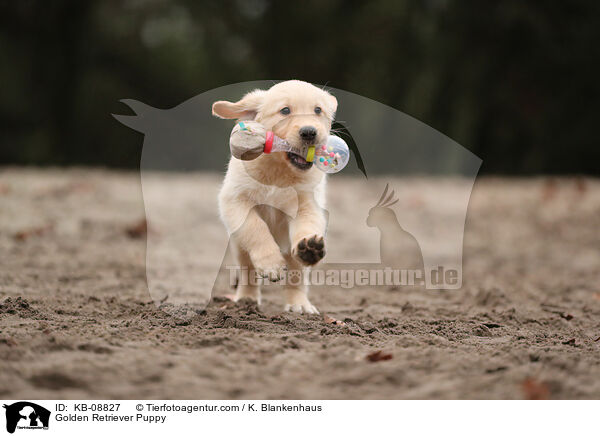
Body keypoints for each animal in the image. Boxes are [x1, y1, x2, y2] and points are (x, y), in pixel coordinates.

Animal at [211, 81, 336, 314]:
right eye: (285, 110)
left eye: (318, 110)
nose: (309, 132)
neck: (279, 171)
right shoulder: (235, 201)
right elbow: (256, 227)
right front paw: (271, 264)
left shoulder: (307, 204)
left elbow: (308, 224)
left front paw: (310, 247)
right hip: (239, 246)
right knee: (248, 271)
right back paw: (247, 299)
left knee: (297, 275)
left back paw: (300, 304)